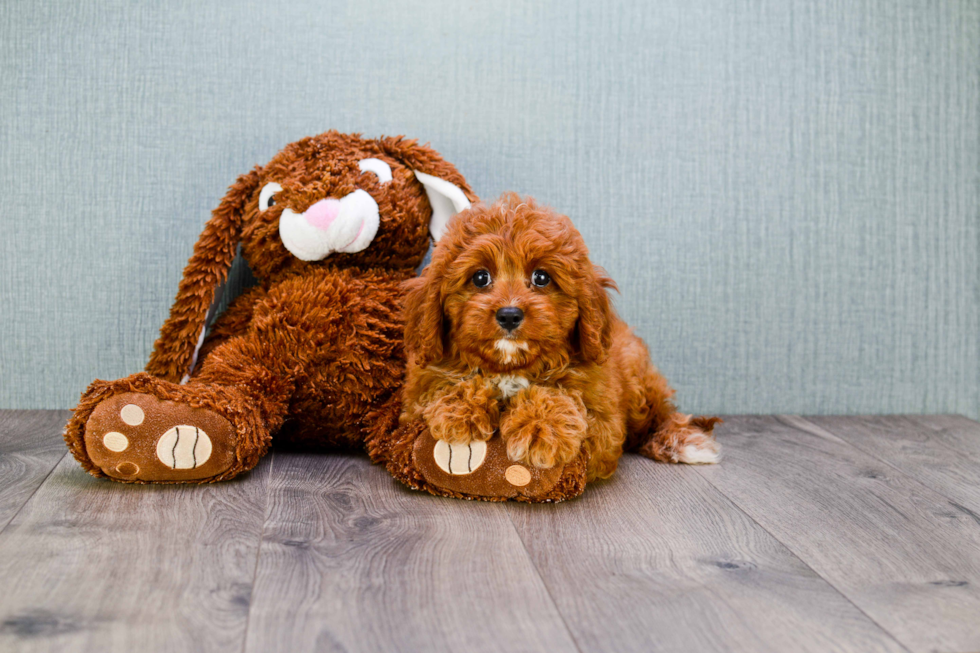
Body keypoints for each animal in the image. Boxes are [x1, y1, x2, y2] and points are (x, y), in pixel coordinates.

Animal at [398, 194, 720, 478]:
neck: (510, 368)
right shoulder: (415, 398)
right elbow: (447, 386)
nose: (509, 315)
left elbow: (560, 394)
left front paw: (542, 428)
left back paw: (684, 442)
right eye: (480, 277)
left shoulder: (604, 421)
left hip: (640, 382)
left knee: (660, 416)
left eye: (541, 277)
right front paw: (459, 411)